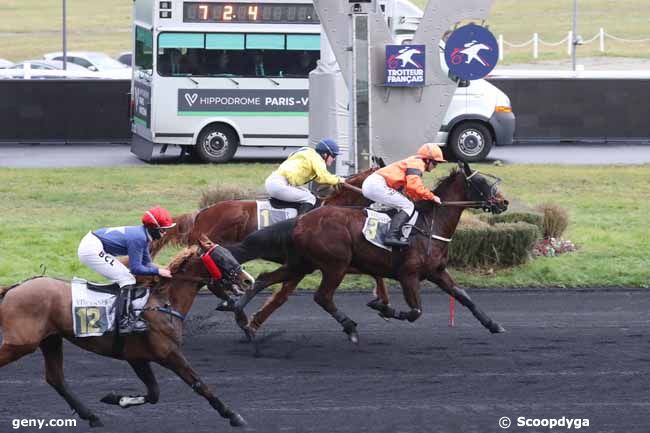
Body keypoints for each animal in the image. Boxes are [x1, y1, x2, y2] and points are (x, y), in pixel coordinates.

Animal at [0, 238, 248, 426]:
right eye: (221, 258)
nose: (247, 280)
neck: (163, 302)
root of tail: (13, 288)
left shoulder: (138, 357)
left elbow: (154, 394)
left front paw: (115, 399)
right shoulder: (168, 354)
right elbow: (198, 384)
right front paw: (233, 415)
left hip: (51, 340)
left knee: (56, 379)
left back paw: (92, 417)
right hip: (21, 344)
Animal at [230, 162, 508, 340]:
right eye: (482, 183)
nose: (504, 202)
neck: (430, 224)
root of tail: (301, 220)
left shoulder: (437, 272)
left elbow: (463, 296)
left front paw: (494, 324)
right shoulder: (408, 275)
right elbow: (415, 311)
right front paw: (383, 308)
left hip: (303, 263)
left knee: (265, 279)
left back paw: (242, 317)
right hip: (335, 265)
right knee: (322, 297)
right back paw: (350, 327)